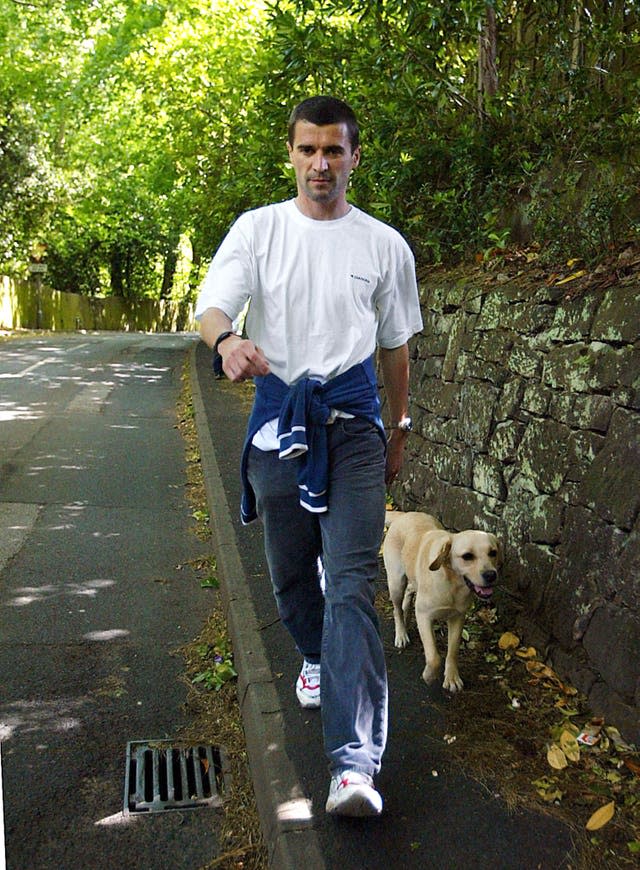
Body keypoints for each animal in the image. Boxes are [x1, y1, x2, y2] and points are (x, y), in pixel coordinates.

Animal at [384, 510, 500, 696]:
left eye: (493, 552)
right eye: (467, 556)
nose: (491, 575)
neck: (453, 583)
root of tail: (405, 514)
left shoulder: (458, 618)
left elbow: (452, 651)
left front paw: (452, 678)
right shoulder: (424, 616)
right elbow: (434, 657)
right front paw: (429, 675)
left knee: (409, 591)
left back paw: (406, 614)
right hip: (396, 582)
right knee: (396, 608)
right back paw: (401, 633)